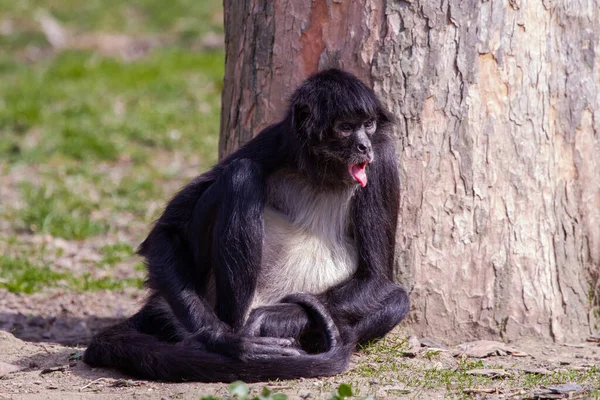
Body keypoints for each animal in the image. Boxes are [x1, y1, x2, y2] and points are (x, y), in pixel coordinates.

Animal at [84, 69, 410, 382]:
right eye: (345, 127)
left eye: (368, 124)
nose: (363, 146)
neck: (323, 175)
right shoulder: (275, 141)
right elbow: (165, 233)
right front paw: (228, 342)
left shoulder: (381, 157)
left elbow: (376, 279)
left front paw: (269, 320)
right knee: (240, 175)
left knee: (397, 301)